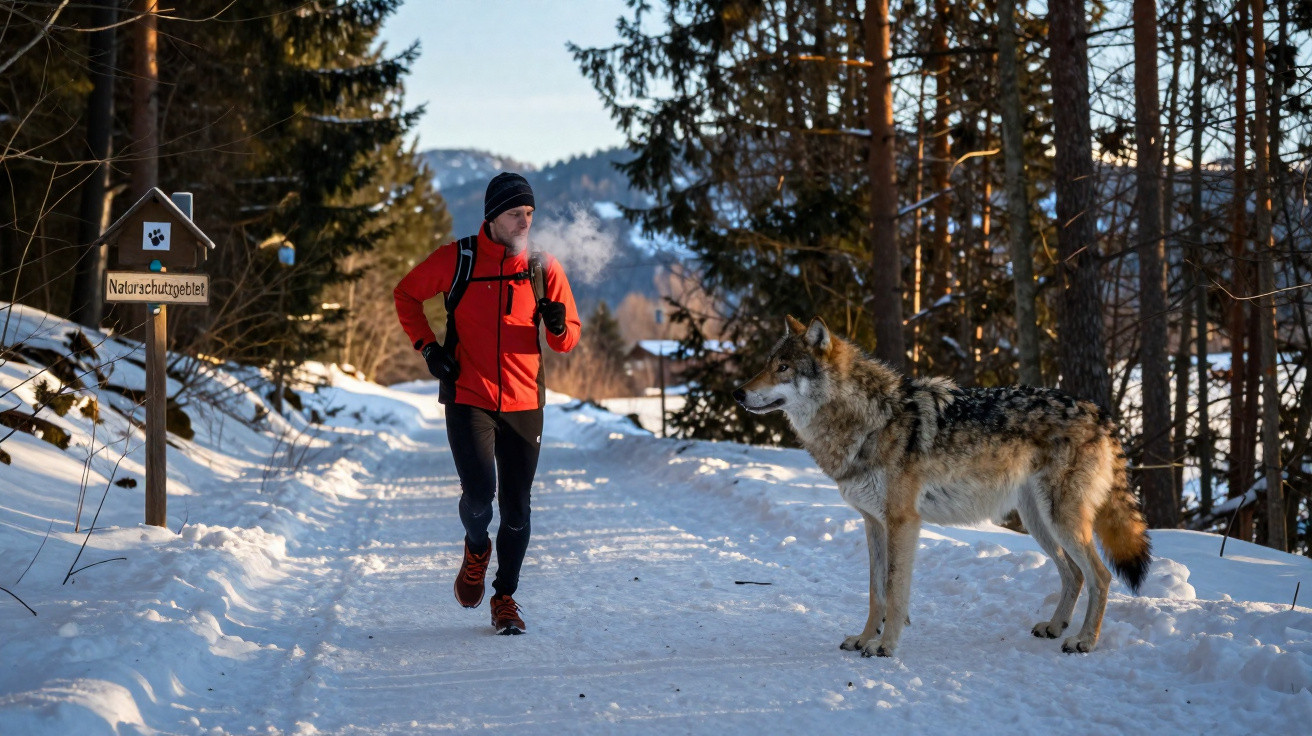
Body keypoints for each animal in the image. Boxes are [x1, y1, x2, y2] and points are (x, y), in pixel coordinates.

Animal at [733, 316, 1152, 657]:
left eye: (783, 368)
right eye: (766, 364)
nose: (737, 392)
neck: (870, 420)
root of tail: (1099, 412)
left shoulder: (902, 521)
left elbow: (894, 589)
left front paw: (885, 646)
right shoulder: (873, 523)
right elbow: (875, 591)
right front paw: (864, 638)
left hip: (1060, 520)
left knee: (1101, 576)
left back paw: (1084, 641)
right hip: (1039, 523)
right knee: (1074, 574)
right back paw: (1054, 627)